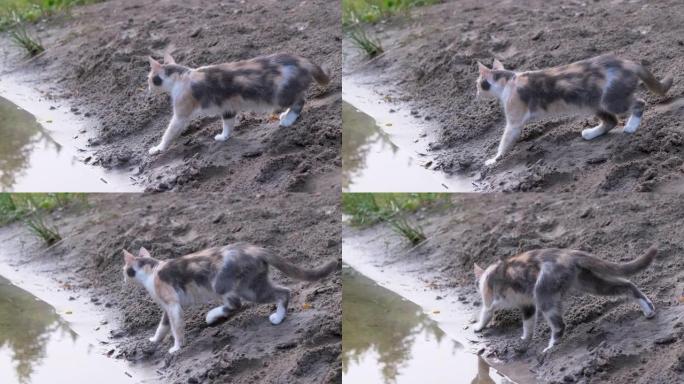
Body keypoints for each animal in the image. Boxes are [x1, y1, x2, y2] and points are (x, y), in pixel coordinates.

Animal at [124, 243, 338, 354]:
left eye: (125, 270)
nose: (122, 278)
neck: (152, 270)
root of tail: (255, 248)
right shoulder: (167, 308)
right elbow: (162, 327)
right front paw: (154, 340)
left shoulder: (173, 305)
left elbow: (176, 329)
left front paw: (176, 347)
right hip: (253, 284)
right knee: (282, 290)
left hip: (231, 286)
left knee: (242, 303)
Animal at [146, 52, 330, 154]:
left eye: (149, 79)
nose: (147, 88)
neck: (181, 76)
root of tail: (302, 60)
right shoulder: (228, 107)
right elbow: (228, 124)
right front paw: (224, 137)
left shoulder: (181, 114)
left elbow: (169, 133)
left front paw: (158, 148)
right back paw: (286, 115)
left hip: (280, 96)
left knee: (300, 100)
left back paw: (288, 119)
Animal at [470, 248, 656, 352]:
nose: (477, 284)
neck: (487, 274)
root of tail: (568, 253)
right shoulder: (527, 306)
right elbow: (528, 326)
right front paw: (524, 341)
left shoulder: (489, 301)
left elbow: (485, 313)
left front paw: (477, 328)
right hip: (590, 283)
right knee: (627, 284)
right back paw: (648, 310)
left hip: (543, 293)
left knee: (559, 326)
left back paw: (551, 347)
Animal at [476, 54, 672, 166]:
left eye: (478, 84)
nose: (476, 93)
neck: (509, 80)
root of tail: (628, 62)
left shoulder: (514, 122)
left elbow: (504, 142)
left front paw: (494, 159)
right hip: (594, 103)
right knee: (611, 121)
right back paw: (590, 133)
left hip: (612, 101)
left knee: (640, 102)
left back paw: (631, 127)